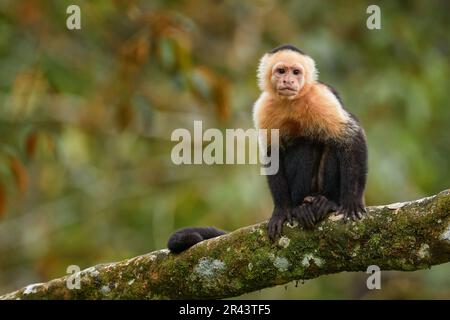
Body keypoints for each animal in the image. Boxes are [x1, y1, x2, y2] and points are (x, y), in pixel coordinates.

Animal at [167, 44, 368, 252]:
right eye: (281, 71)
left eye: (296, 72)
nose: (288, 80)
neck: (291, 102)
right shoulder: (263, 107)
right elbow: (273, 155)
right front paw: (282, 211)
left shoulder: (321, 97)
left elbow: (351, 137)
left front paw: (352, 202)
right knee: (304, 145)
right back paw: (300, 208)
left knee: (329, 144)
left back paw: (326, 202)